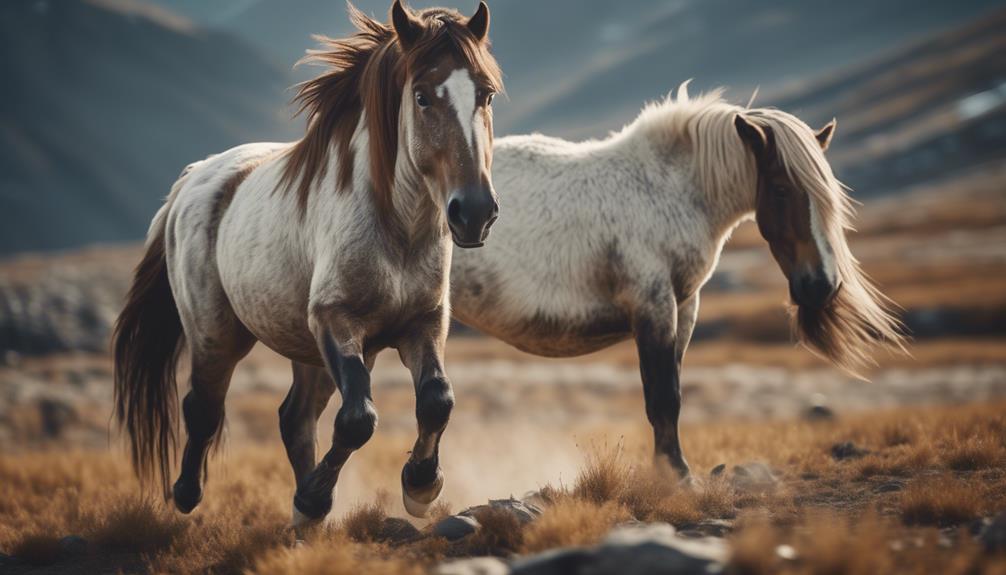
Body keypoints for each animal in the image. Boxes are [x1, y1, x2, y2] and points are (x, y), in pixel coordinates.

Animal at [114, 0, 503, 526]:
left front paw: (420, 486)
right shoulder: (336, 321)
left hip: (307, 352)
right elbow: (358, 420)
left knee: (294, 419)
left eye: (485, 94)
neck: (397, 230)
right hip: (217, 336)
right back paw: (187, 494)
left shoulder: (424, 323)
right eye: (422, 97)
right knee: (204, 408)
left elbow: (437, 401)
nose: (475, 212)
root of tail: (193, 178)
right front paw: (314, 498)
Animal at [452, 80, 909, 476]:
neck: (668, 191)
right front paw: (676, 475)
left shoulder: (684, 309)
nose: (823, 285)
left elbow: (670, 395)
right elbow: (663, 397)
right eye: (781, 189)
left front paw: (670, 469)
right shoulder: (653, 306)